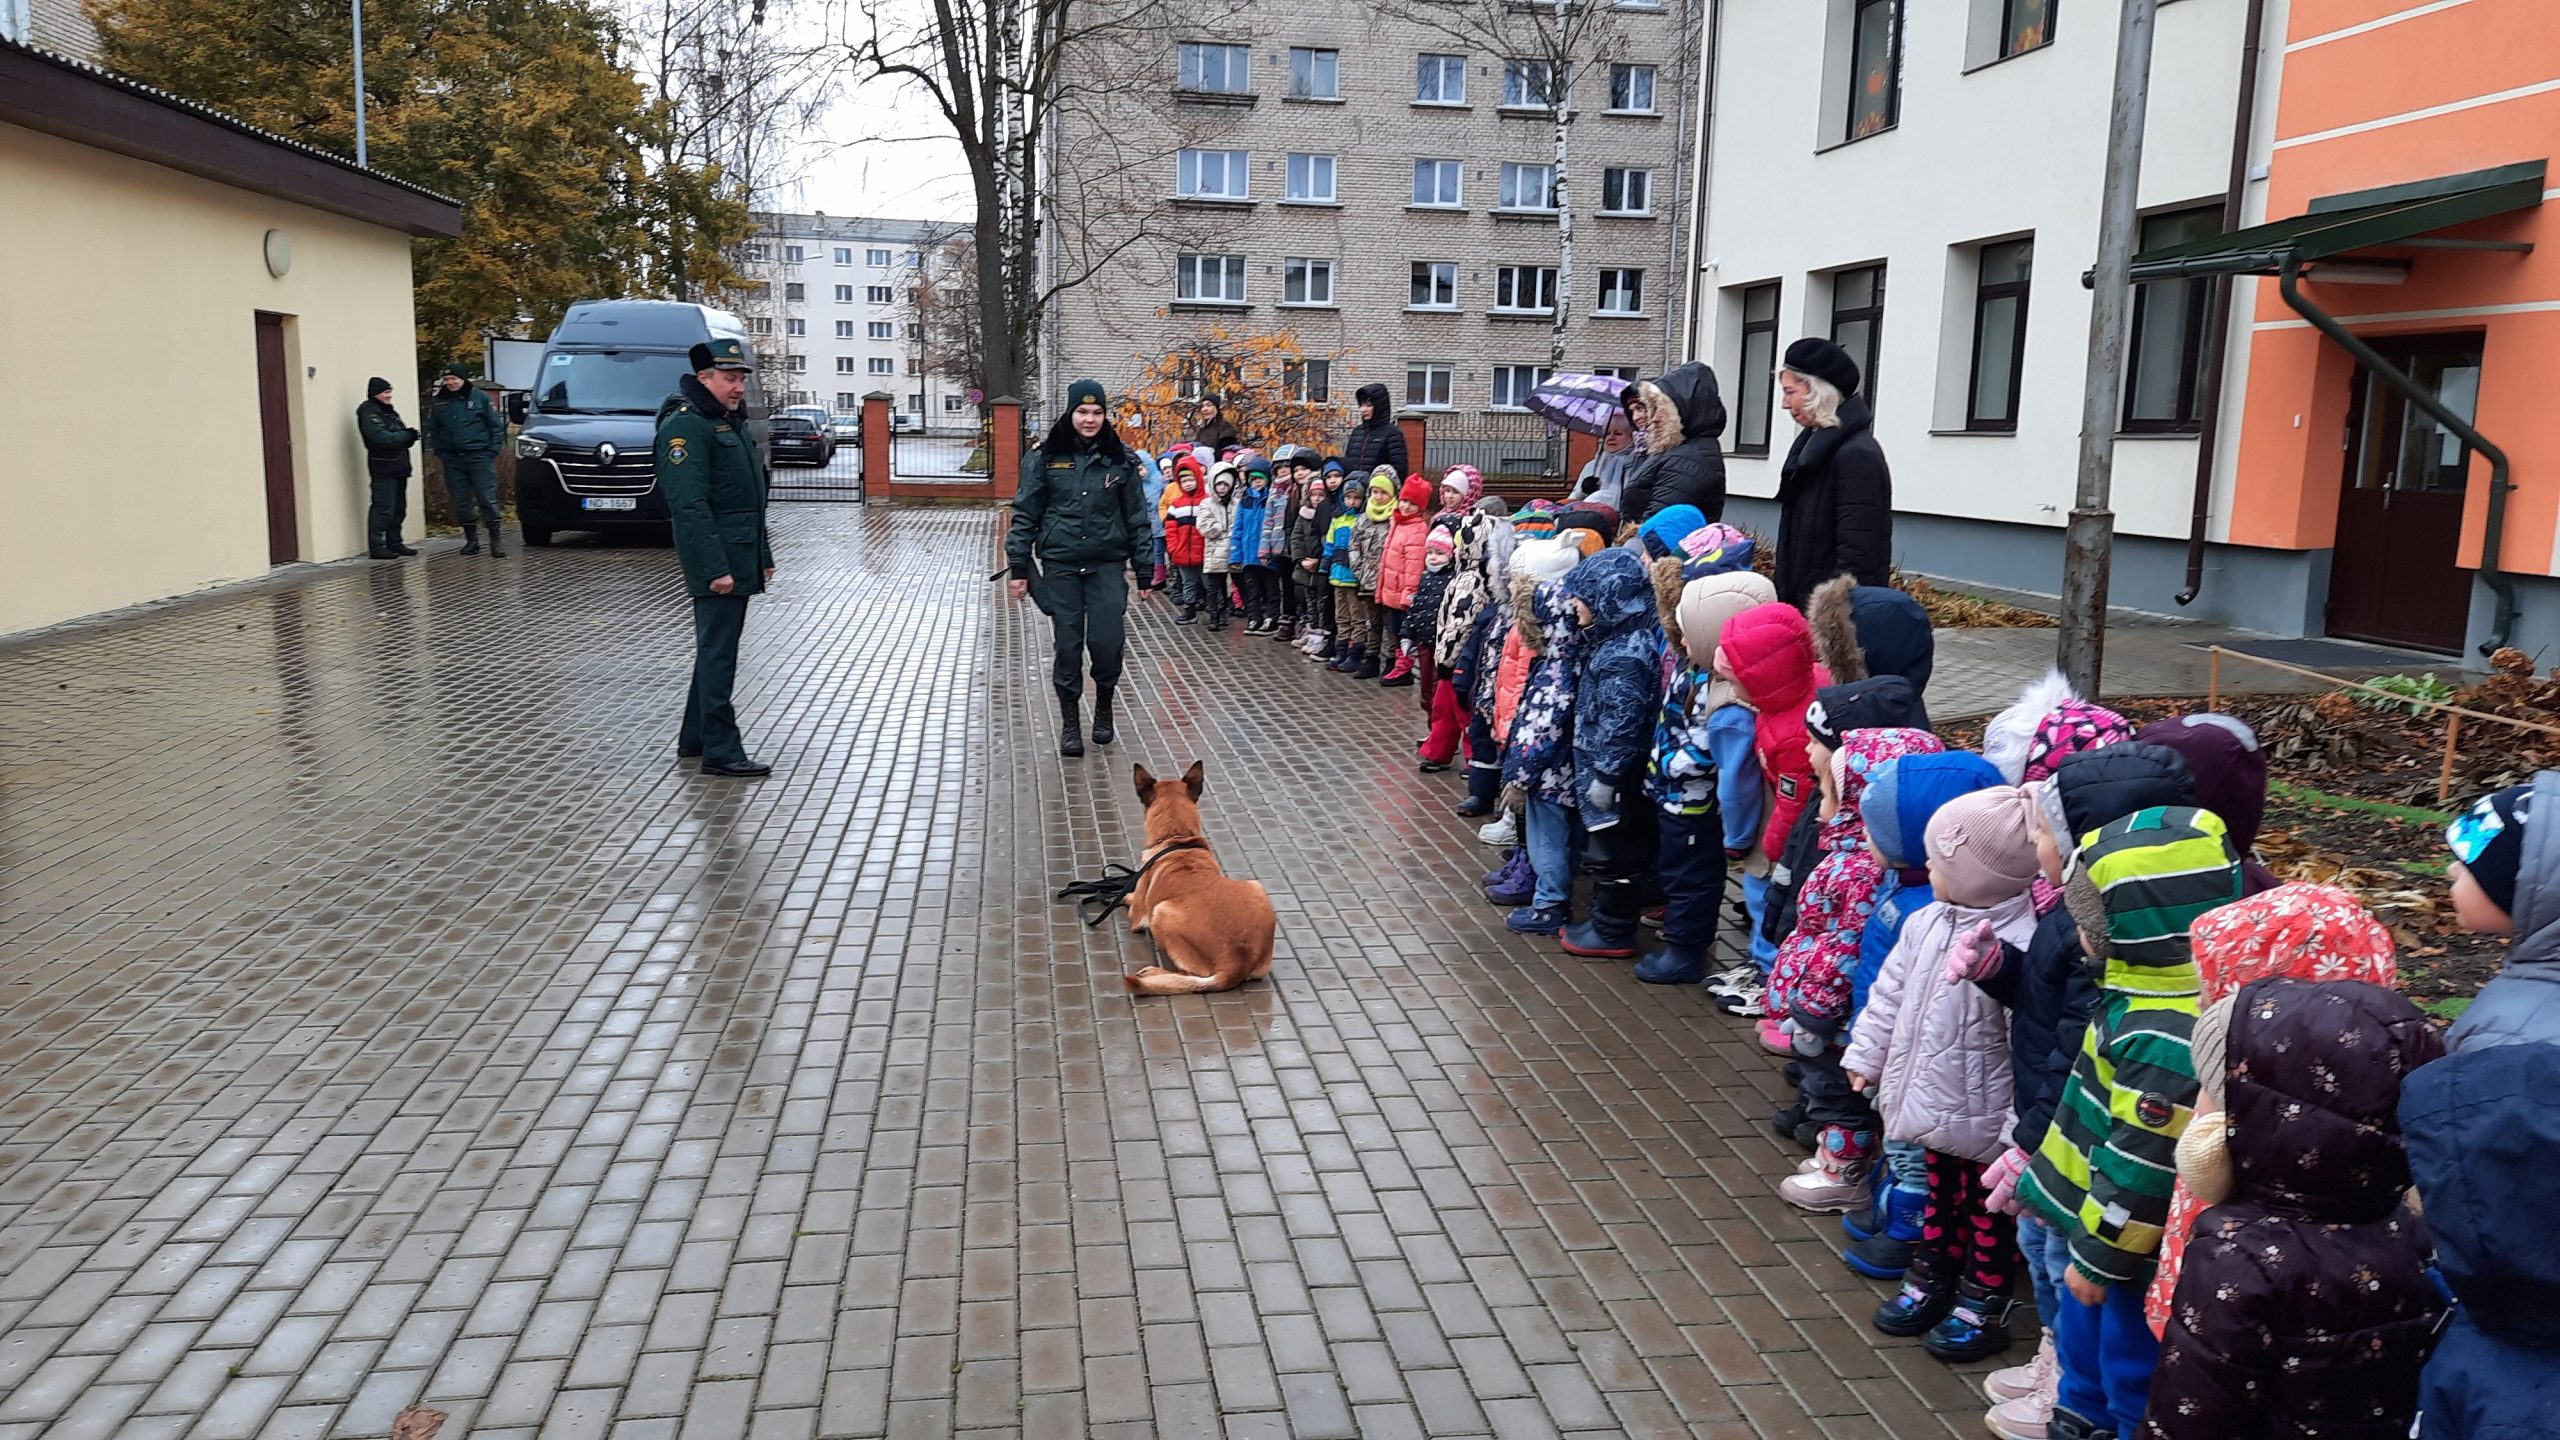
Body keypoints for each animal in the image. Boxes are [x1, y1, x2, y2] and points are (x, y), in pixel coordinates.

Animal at [1126, 758, 1274, 994]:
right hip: (1255, 885)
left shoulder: (1138, 916)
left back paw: (1154, 973)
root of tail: (1235, 966)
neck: (1177, 837)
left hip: (1161, 912)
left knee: (1188, 975)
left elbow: (1131, 902)